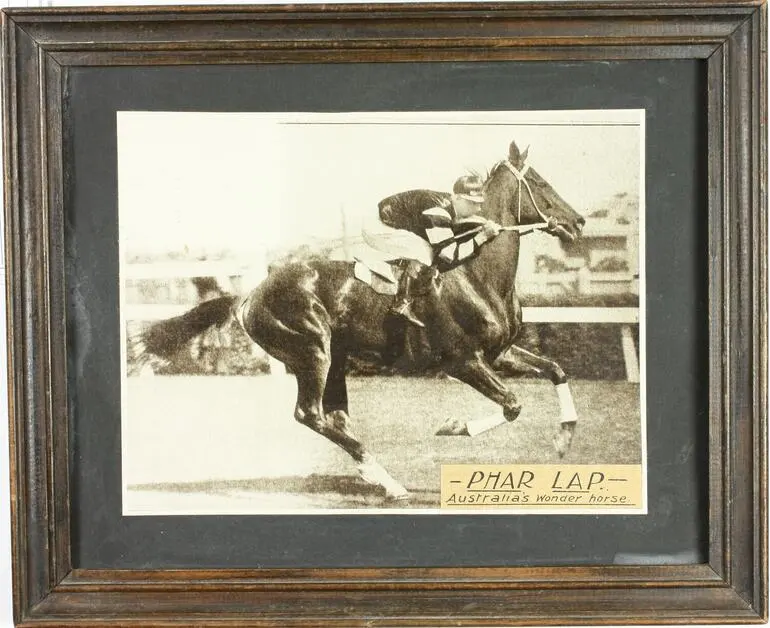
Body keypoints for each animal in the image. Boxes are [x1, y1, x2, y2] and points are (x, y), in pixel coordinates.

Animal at [138, 142, 584, 500]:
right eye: (541, 183)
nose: (578, 222)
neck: (477, 274)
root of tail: (250, 294)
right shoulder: (462, 361)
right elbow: (513, 405)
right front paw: (452, 426)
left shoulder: (499, 353)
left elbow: (556, 369)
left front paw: (564, 438)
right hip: (311, 352)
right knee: (310, 415)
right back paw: (387, 480)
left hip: (335, 358)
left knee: (335, 417)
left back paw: (374, 474)